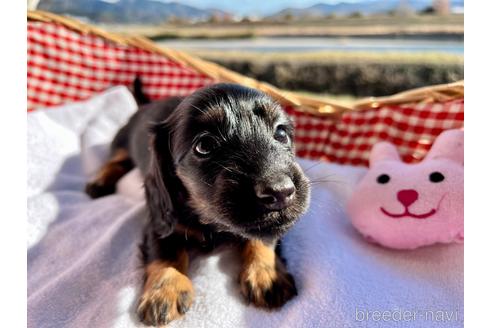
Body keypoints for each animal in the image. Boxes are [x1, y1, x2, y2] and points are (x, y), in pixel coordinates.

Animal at [84, 84, 308, 326]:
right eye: (204, 145)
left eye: (281, 133)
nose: (281, 191)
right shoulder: (159, 220)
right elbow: (166, 252)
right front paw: (165, 289)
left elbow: (263, 237)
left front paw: (266, 273)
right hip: (122, 141)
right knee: (116, 159)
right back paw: (99, 182)